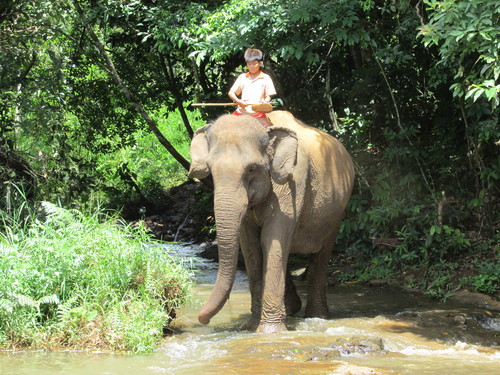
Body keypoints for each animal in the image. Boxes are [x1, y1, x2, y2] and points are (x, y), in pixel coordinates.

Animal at [188, 110, 356, 334]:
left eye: (251, 169)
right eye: (211, 171)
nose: (203, 320)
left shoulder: (292, 183)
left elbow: (272, 238)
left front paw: (269, 332)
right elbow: (251, 245)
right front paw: (252, 326)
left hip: (337, 210)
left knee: (321, 253)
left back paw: (317, 316)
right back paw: (293, 308)